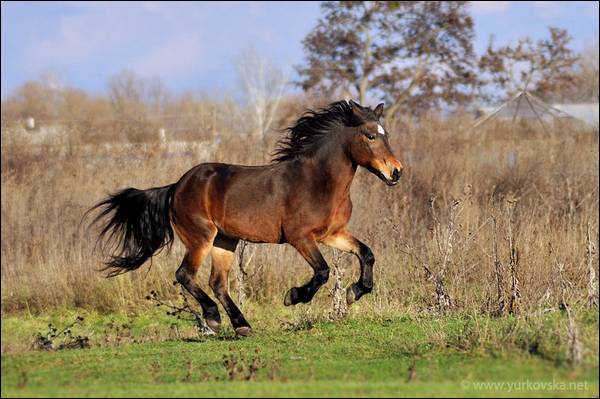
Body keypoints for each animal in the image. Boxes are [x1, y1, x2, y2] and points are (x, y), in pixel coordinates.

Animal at [88, 98, 404, 336]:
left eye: (387, 134)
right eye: (370, 135)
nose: (396, 171)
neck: (318, 180)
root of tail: (175, 187)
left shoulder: (333, 233)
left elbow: (367, 254)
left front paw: (355, 291)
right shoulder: (300, 237)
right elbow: (323, 271)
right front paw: (293, 296)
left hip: (225, 241)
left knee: (217, 282)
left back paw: (242, 326)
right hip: (201, 238)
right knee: (185, 275)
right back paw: (214, 319)